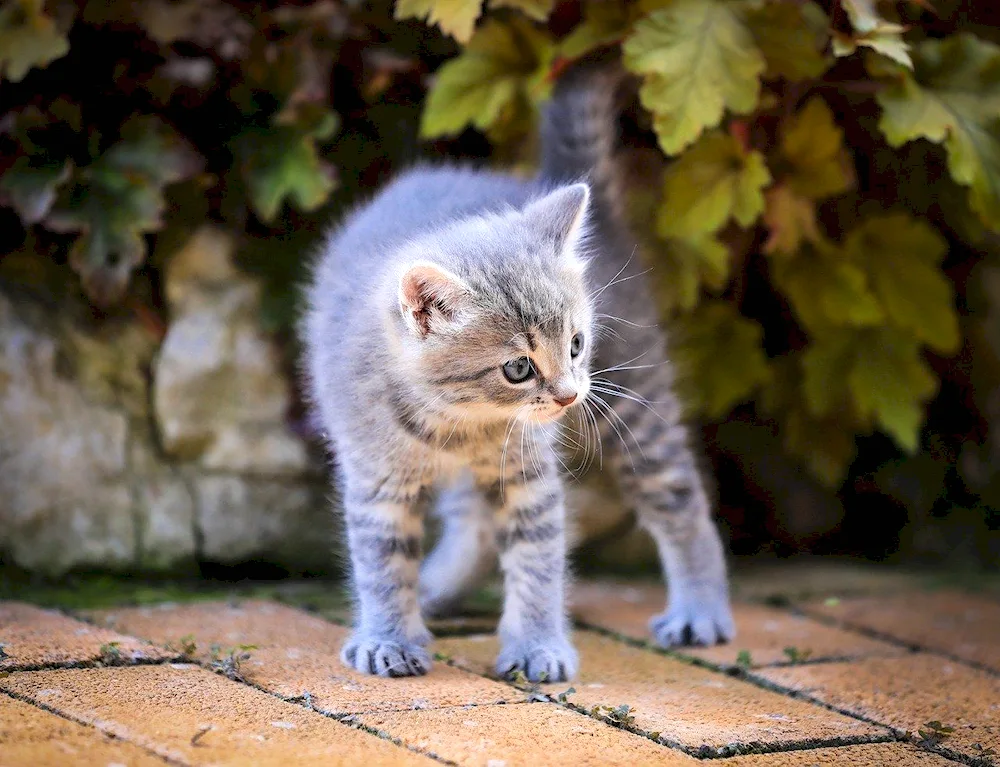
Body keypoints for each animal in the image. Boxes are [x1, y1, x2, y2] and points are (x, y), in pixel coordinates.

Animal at [302, 63, 736, 680]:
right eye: (517, 368)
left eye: (577, 344)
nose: (569, 395)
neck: (458, 422)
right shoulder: (377, 471)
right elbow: (382, 560)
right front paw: (388, 636)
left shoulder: (529, 470)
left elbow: (538, 556)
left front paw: (538, 645)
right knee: (474, 523)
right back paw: (435, 589)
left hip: (636, 403)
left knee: (677, 494)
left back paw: (700, 608)